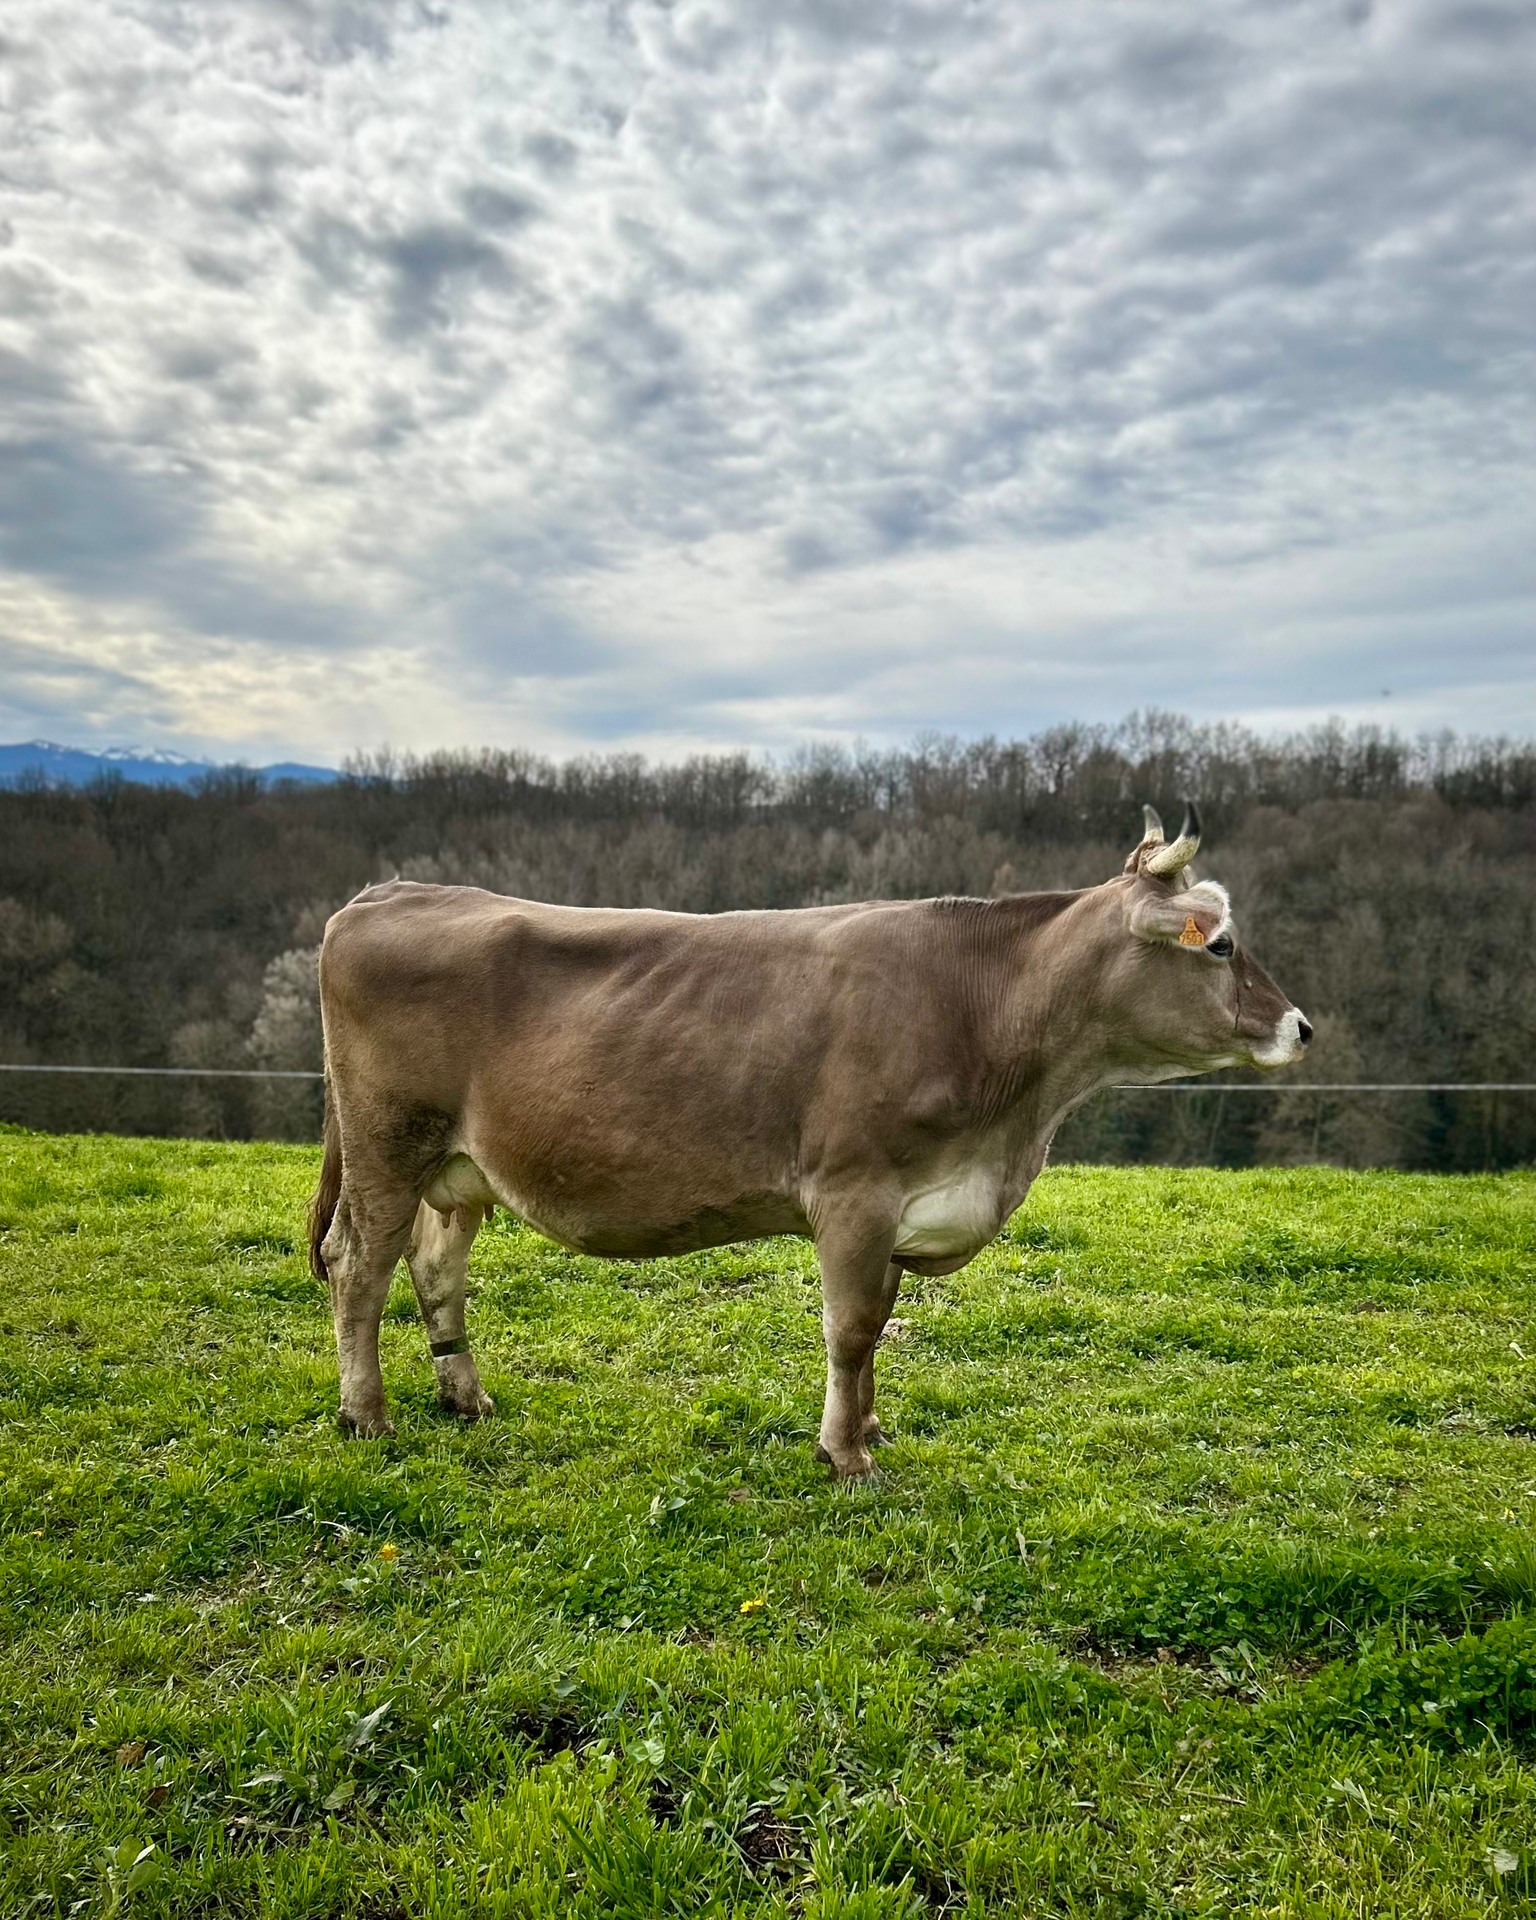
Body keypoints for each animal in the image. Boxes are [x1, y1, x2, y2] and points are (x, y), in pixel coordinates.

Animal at [310, 803, 1309, 1477]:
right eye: (1220, 944)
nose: (1300, 1027)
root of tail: (385, 892)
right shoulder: (853, 1193)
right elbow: (853, 1328)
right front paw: (845, 1456)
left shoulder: (907, 1207)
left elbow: (877, 1330)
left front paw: (866, 1429)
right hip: (386, 1144)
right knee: (360, 1268)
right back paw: (367, 1414)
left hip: (457, 1167)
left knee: (435, 1266)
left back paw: (463, 1395)